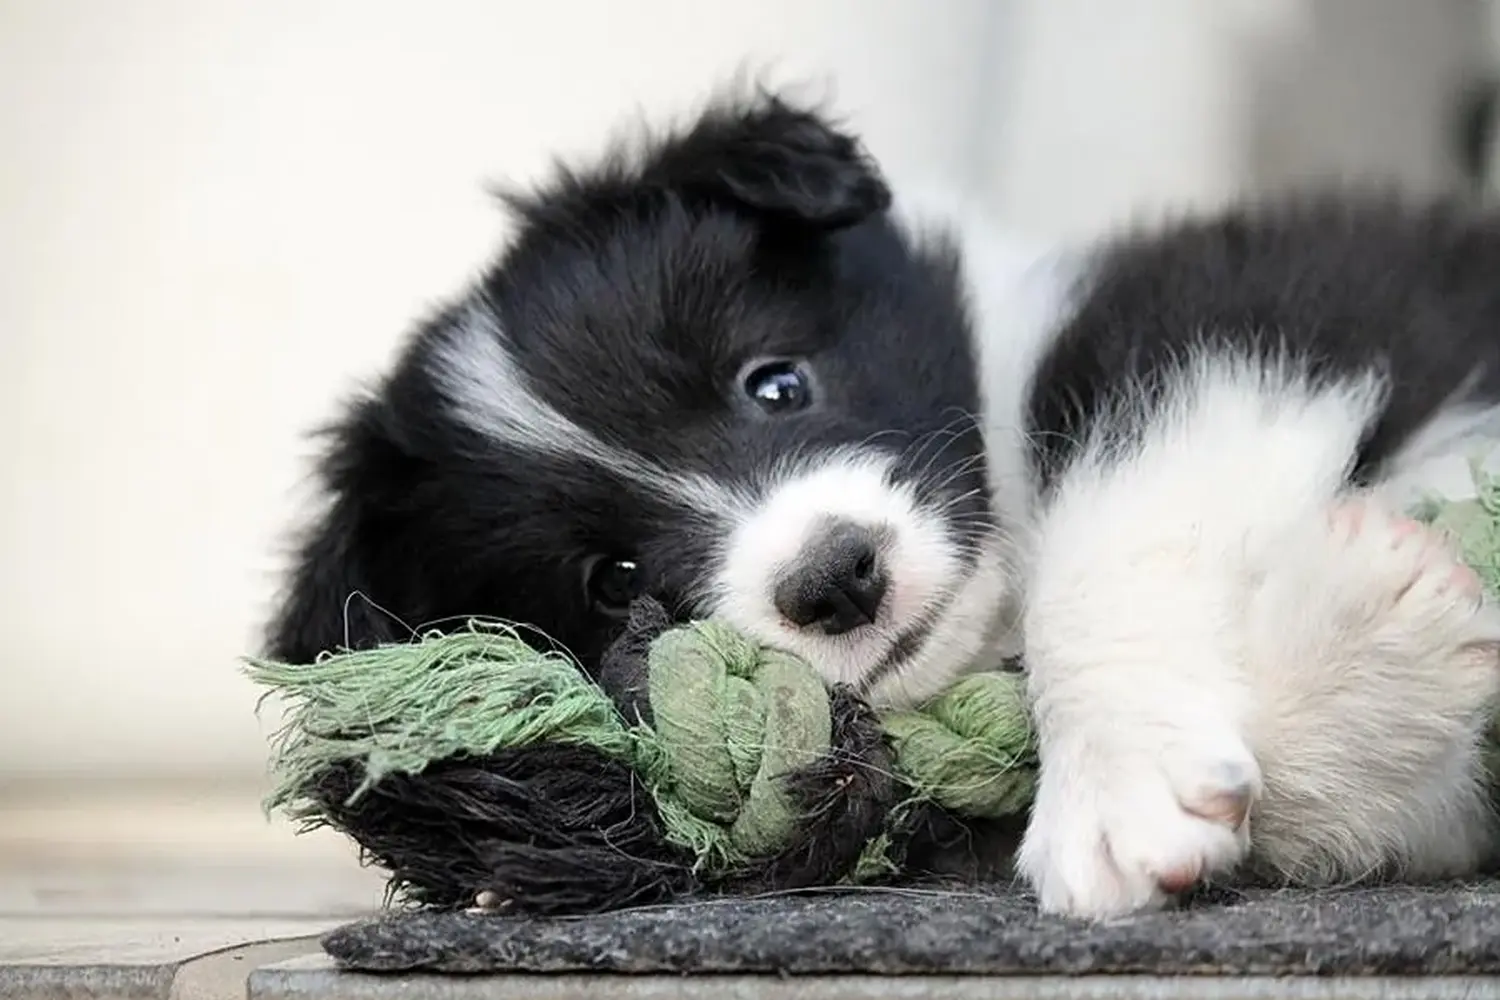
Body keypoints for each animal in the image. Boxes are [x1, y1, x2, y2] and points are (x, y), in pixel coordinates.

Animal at [270, 89, 1500, 917]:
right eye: (612, 581)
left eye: (776, 383)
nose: (835, 577)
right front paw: (1378, 654)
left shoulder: (1271, 304)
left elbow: (1122, 509)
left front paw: (1114, 780)